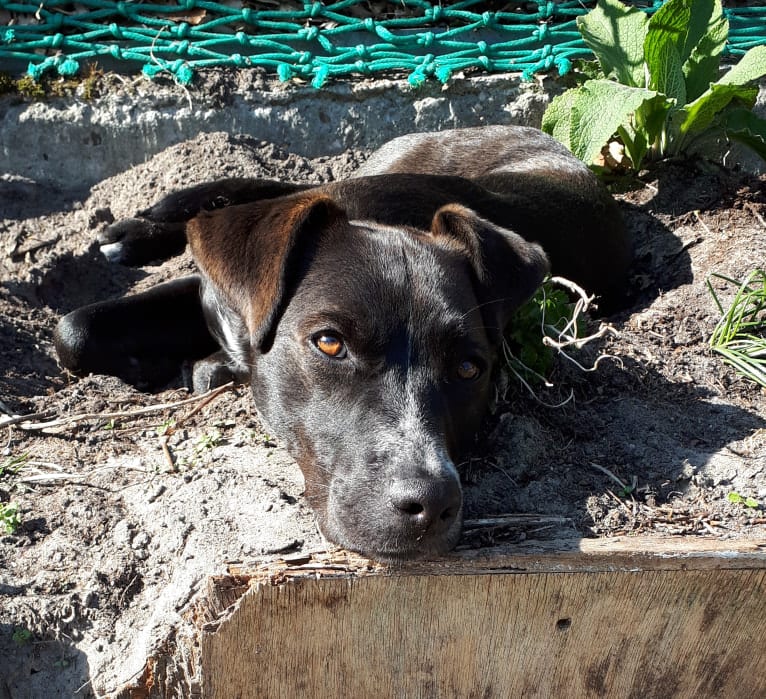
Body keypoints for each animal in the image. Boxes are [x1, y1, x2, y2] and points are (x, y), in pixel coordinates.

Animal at [52, 127, 632, 564]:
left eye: (470, 369)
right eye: (330, 343)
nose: (429, 504)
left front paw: (204, 366)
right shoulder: (206, 292)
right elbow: (71, 331)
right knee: (286, 187)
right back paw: (142, 227)